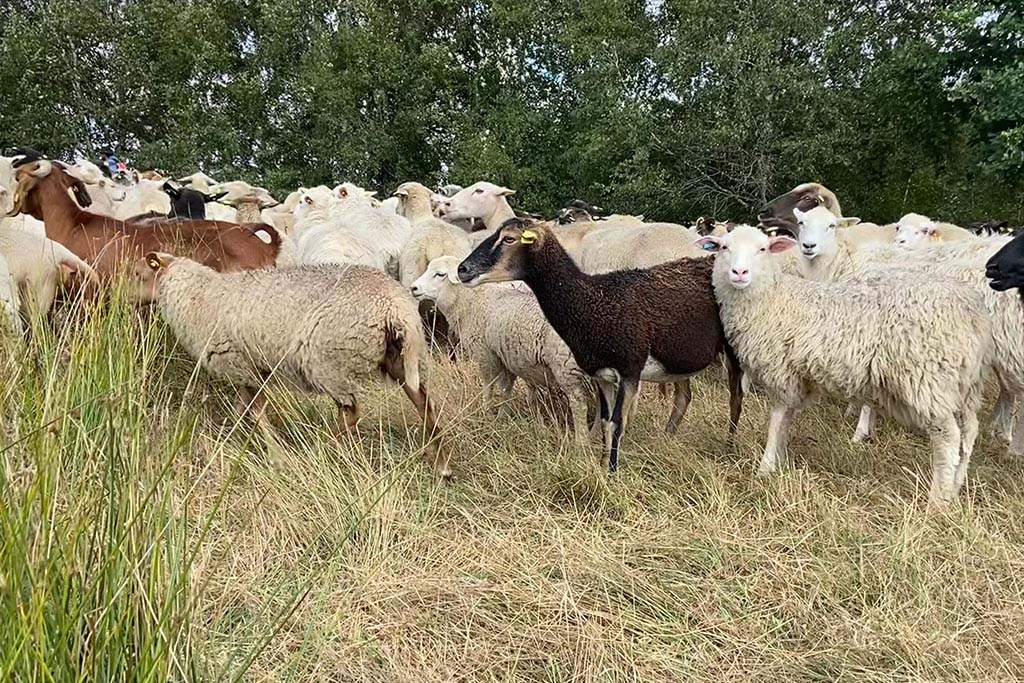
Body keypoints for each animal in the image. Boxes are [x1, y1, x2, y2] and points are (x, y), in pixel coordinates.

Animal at [136, 253, 449, 479]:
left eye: (137, 274)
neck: (197, 297)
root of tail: (394, 305)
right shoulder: (253, 369)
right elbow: (242, 410)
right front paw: (233, 437)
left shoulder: (240, 364)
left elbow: (256, 413)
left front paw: (277, 456)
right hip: (400, 359)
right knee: (424, 404)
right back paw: (439, 463)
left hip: (330, 361)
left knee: (351, 412)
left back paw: (322, 449)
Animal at [411, 255, 595, 443]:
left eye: (440, 274)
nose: (413, 288)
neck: (470, 302)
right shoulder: (504, 357)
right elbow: (505, 389)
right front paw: (503, 416)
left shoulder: (486, 354)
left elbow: (488, 387)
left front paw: (486, 414)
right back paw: (596, 434)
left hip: (565, 366)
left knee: (579, 404)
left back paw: (581, 441)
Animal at [457, 218, 743, 471]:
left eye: (509, 239)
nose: (462, 270)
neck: (595, 302)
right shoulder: (601, 374)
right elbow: (605, 421)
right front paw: (603, 463)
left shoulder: (629, 371)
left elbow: (617, 423)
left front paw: (612, 473)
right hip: (679, 357)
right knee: (684, 397)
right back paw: (666, 438)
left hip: (734, 348)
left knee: (735, 399)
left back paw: (729, 447)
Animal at [699, 225, 990, 504]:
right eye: (724, 247)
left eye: (762, 249)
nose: (739, 272)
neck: (772, 297)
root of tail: (971, 309)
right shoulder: (798, 376)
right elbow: (787, 420)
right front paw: (780, 461)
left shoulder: (780, 372)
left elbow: (777, 419)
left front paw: (766, 466)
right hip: (964, 384)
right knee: (969, 432)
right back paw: (956, 488)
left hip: (929, 379)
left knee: (948, 437)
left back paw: (938, 500)